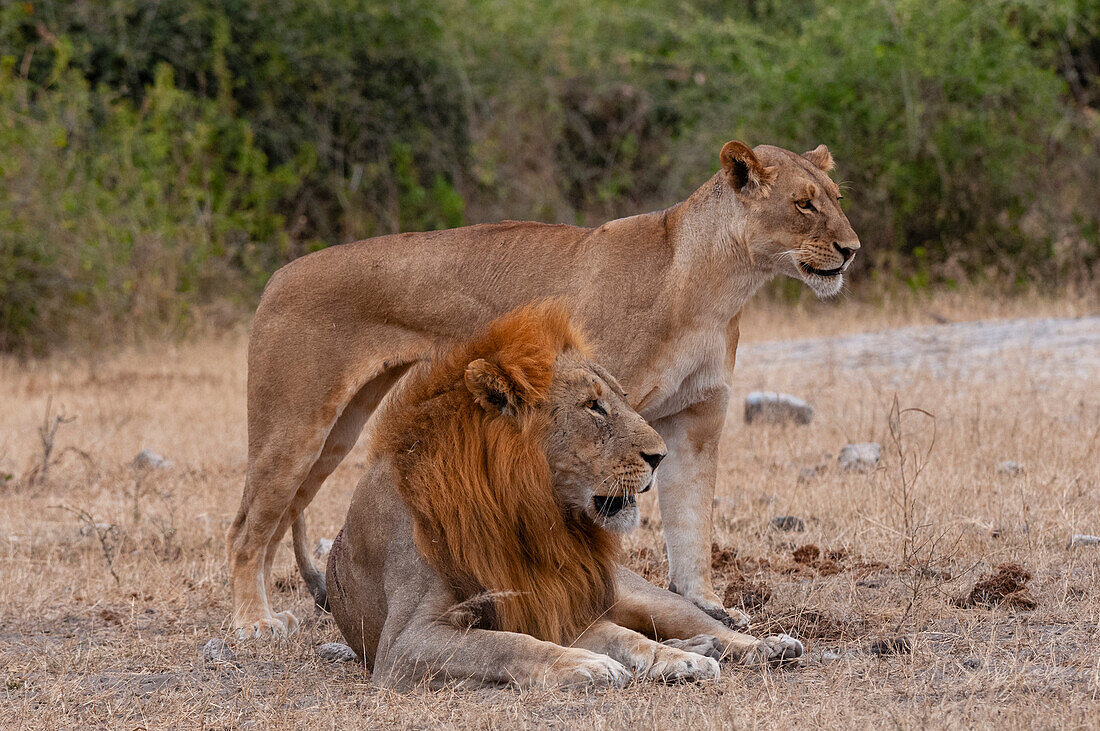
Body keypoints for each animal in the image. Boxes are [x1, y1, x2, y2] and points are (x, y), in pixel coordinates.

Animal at [225, 138, 858, 637]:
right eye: (804, 204)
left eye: (837, 199)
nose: (852, 250)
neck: (717, 286)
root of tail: (276, 277)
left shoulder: (698, 420)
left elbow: (692, 523)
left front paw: (709, 606)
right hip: (294, 426)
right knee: (245, 528)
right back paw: (253, 624)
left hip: (338, 429)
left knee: (278, 518)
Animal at [319, 298, 800, 685]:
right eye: (594, 406)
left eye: (621, 398)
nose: (661, 456)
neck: (526, 516)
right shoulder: (404, 643)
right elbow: (508, 643)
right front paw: (586, 664)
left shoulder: (559, 602)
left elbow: (622, 638)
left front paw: (664, 660)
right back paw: (696, 652)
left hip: (642, 595)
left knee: (701, 623)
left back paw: (757, 647)